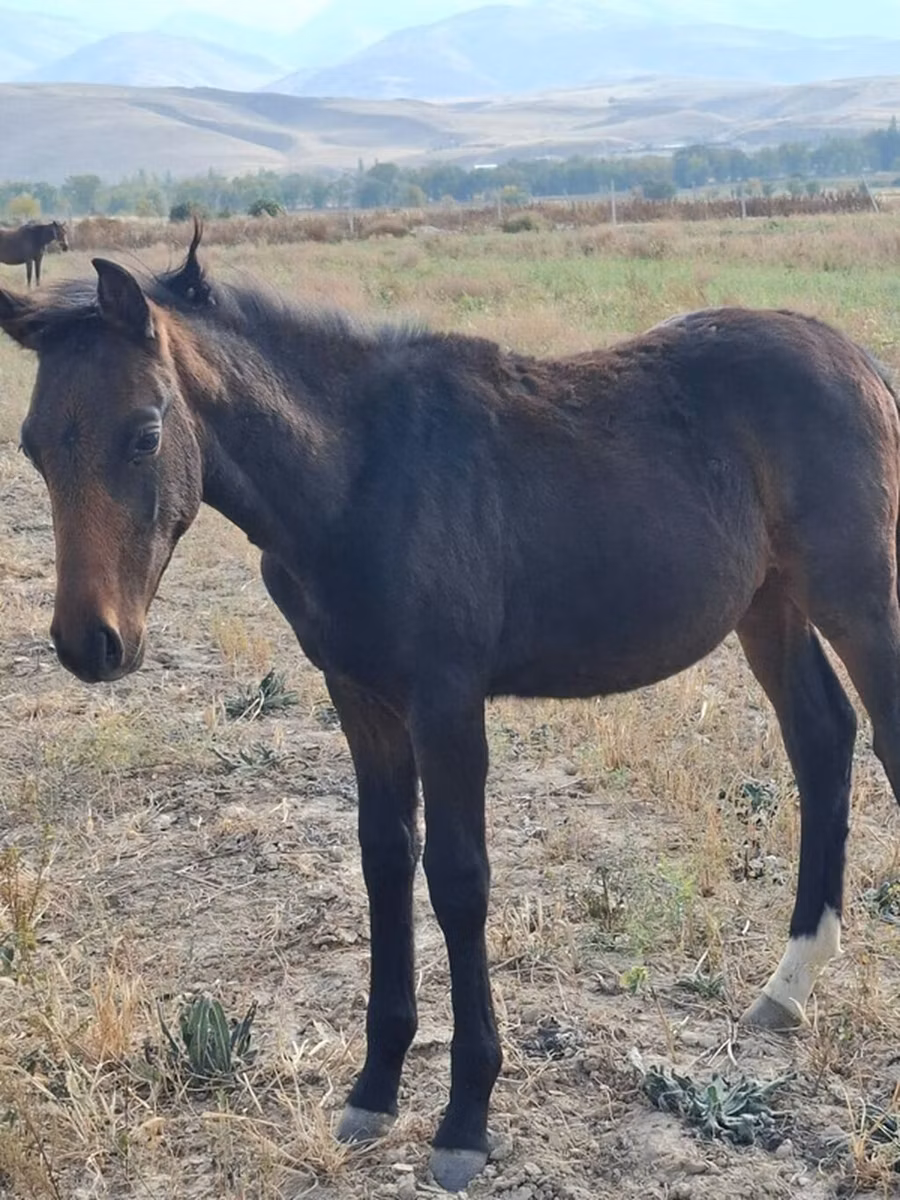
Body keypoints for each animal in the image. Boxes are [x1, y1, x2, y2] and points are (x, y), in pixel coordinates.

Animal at [2, 226, 900, 1191]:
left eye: (145, 433)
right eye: (32, 446)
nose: (90, 643)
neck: (358, 474)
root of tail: (856, 356)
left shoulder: (446, 700)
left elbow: (459, 881)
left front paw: (466, 1115)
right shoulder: (359, 694)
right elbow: (384, 860)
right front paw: (375, 1085)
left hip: (855, 594)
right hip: (767, 603)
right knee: (821, 738)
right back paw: (790, 982)